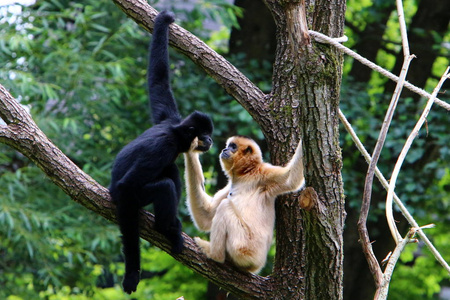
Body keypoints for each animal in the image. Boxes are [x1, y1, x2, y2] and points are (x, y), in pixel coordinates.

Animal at [109, 10, 214, 294]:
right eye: (204, 134)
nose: (211, 140)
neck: (175, 133)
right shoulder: (163, 147)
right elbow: (127, 187)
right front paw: (132, 273)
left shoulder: (168, 117)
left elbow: (158, 80)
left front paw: (163, 22)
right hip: (131, 195)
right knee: (163, 183)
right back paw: (166, 227)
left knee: (172, 170)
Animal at [184, 136, 306, 274]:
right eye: (228, 146)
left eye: (233, 147)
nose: (225, 149)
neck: (246, 174)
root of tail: (256, 265)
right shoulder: (230, 186)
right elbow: (205, 216)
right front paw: (191, 147)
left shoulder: (263, 174)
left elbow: (291, 178)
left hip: (244, 247)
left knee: (225, 206)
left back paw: (215, 255)